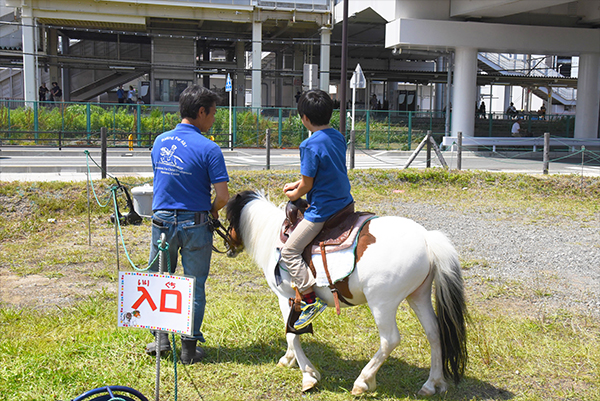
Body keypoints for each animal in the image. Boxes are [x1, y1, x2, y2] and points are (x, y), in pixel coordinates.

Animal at [225, 190, 468, 394]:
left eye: (228, 219)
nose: (228, 247)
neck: (274, 236)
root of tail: (427, 239)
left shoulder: (287, 298)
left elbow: (293, 333)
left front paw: (308, 375)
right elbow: (290, 334)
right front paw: (288, 359)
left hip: (382, 303)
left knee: (390, 340)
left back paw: (363, 381)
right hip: (418, 295)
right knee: (434, 332)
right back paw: (432, 384)